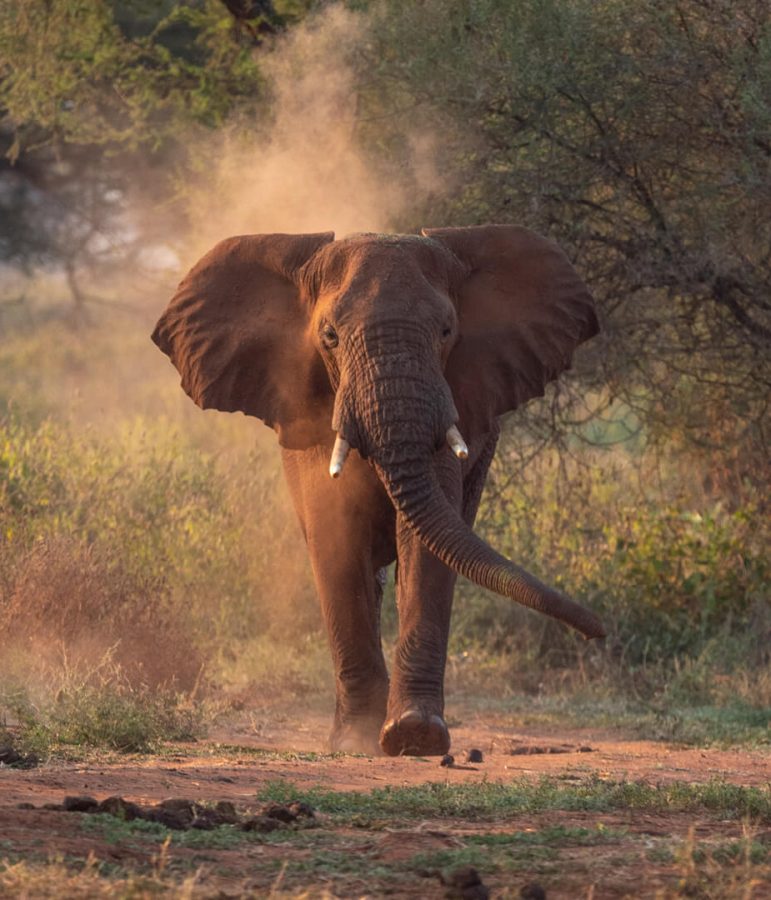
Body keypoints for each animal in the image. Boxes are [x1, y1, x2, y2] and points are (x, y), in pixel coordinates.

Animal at [152, 224, 604, 757]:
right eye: (329, 336)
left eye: (446, 331)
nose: (599, 631)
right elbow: (337, 538)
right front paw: (356, 740)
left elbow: (426, 548)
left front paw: (415, 734)